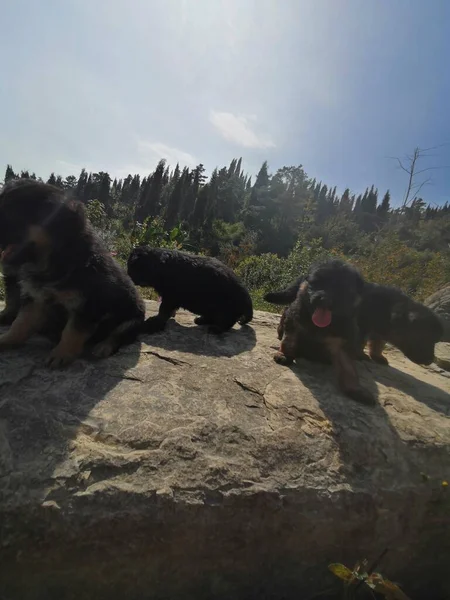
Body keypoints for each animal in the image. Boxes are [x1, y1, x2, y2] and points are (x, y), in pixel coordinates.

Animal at [0, 178, 145, 366]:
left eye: (12, 212)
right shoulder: (35, 298)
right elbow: (20, 323)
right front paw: (6, 340)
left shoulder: (88, 305)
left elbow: (72, 331)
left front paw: (61, 354)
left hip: (133, 318)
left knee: (119, 334)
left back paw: (103, 347)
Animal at [264, 258, 372, 406]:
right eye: (317, 283)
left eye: (341, 289)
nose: (324, 298)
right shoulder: (294, 321)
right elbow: (289, 341)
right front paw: (285, 354)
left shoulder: (343, 342)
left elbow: (348, 368)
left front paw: (355, 389)